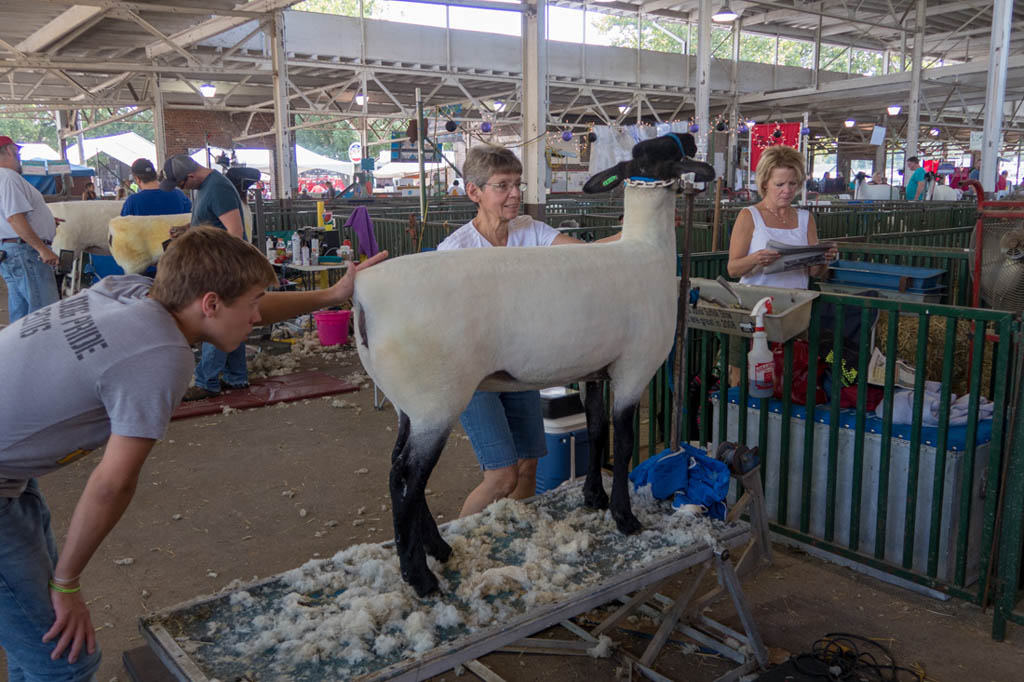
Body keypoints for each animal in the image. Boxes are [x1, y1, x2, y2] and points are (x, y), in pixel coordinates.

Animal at [352, 133, 712, 593]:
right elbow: (625, 442)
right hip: (436, 399)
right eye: (667, 152)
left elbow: (597, 430)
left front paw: (594, 498)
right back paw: (420, 576)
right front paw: (625, 517)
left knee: (398, 468)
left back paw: (439, 549)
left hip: (408, 403)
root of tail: (364, 293)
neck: (647, 251)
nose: (691, 137)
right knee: (406, 479)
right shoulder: (634, 368)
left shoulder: (595, 369)